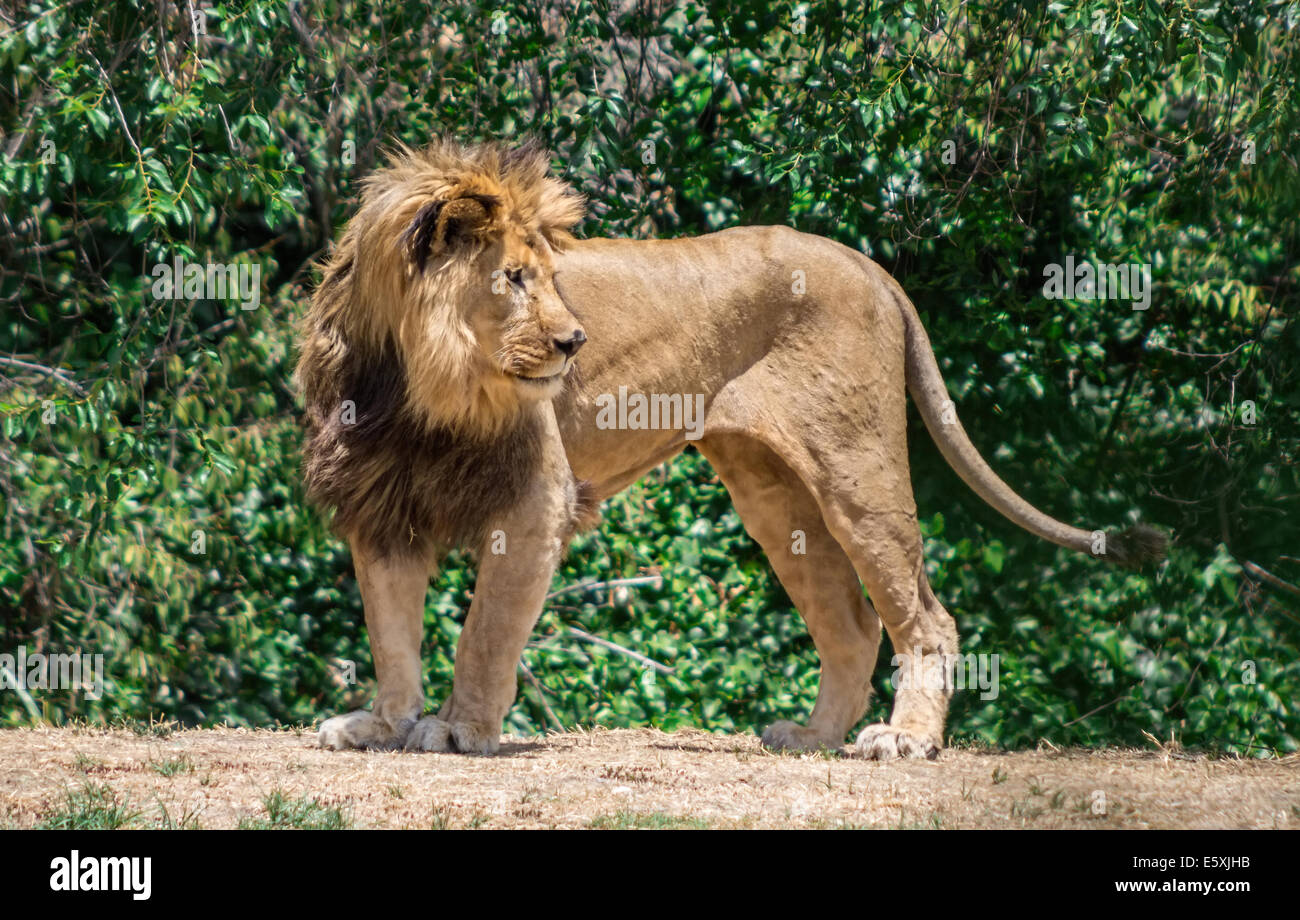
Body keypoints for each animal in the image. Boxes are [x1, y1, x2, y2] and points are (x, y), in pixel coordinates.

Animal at [297, 137, 1166, 760]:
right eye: (511, 278)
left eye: (547, 276)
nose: (576, 342)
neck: (414, 385)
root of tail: (869, 264)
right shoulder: (378, 503)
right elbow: (390, 633)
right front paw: (382, 724)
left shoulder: (534, 501)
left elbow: (485, 632)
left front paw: (456, 728)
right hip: (773, 491)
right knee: (851, 624)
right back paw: (813, 738)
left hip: (859, 472)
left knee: (927, 616)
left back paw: (906, 738)